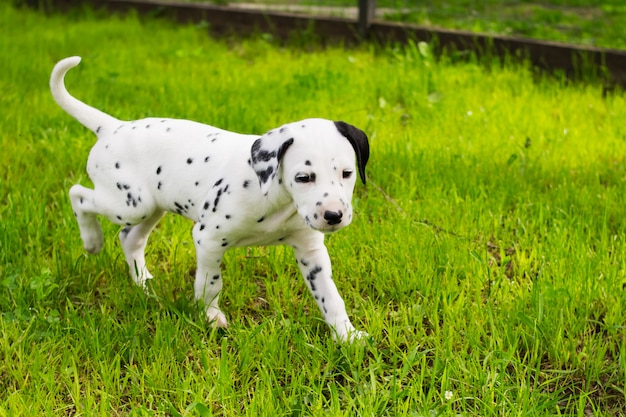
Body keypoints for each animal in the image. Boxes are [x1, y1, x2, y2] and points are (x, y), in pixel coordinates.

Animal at [52, 55, 370, 342]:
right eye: (303, 177)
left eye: (347, 173)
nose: (334, 216)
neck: (275, 197)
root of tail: (113, 127)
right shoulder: (208, 239)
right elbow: (211, 282)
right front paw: (211, 316)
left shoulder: (311, 251)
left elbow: (330, 297)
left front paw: (346, 335)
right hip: (128, 204)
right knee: (78, 195)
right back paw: (92, 241)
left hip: (150, 208)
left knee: (130, 238)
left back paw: (143, 282)